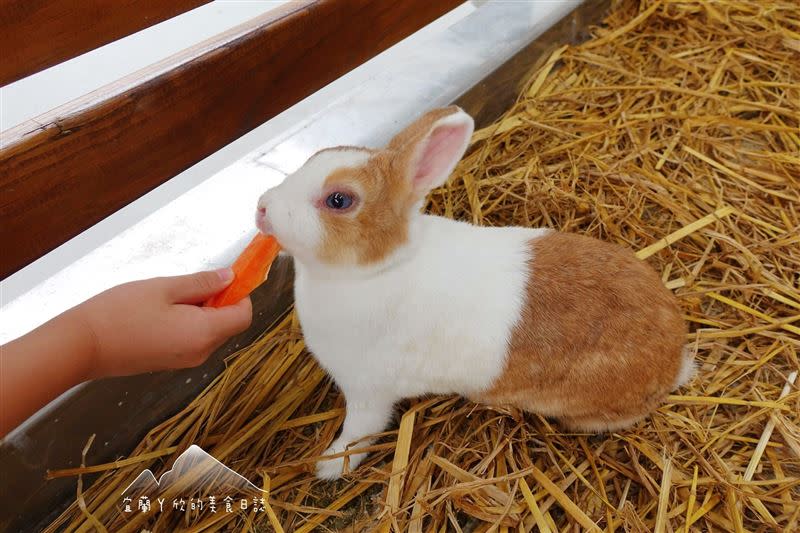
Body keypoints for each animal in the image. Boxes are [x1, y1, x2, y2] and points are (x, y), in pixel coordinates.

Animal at [256, 105, 692, 478]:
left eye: (339, 199)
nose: (262, 207)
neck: (376, 269)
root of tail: (674, 359)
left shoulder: (368, 391)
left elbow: (358, 434)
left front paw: (328, 466)